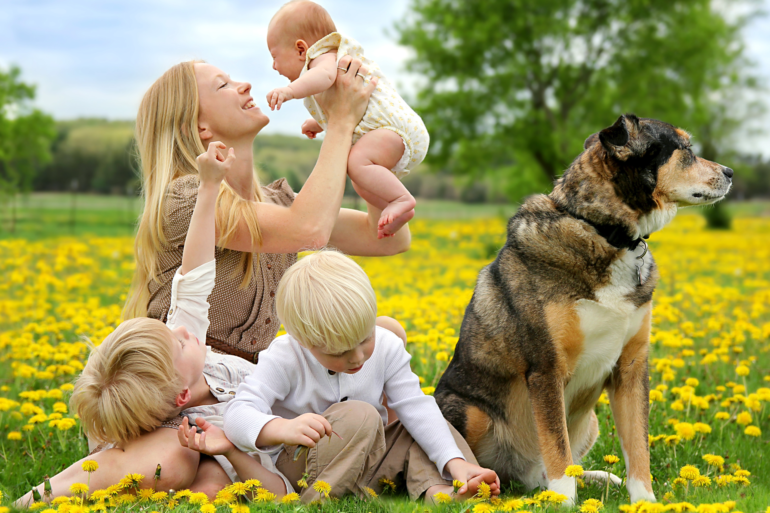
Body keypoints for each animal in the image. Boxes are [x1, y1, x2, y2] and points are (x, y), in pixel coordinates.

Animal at [436, 115, 728, 504]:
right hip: (469, 411)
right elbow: (557, 446)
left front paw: (645, 502)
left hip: (589, 422)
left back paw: (599, 477)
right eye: (686, 149)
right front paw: (562, 502)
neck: (604, 231)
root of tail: (519, 478)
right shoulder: (547, 369)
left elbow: (638, 446)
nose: (730, 172)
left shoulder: (631, 368)